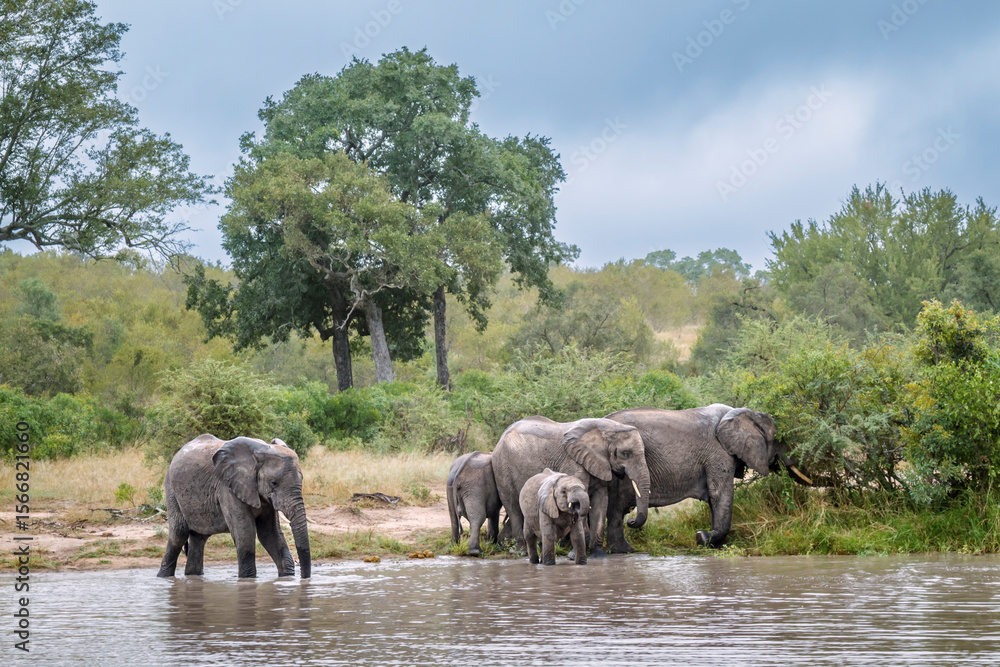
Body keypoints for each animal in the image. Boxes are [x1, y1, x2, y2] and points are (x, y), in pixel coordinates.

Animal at [157, 434, 311, 579]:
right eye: (274, 483)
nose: (304, 578)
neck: (260, 450)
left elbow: (269, 533)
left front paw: (287, 578)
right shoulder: (227, 486)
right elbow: (245, 533)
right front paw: (247, 579)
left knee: (198, 538)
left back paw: (192, 576)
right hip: (171, 489)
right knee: (179, 533)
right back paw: (163, 576)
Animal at [491, 415, 650, 556]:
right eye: (626, 453)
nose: (631, 521)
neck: (607, 428)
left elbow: (601, 501)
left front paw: (598, 555)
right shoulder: (573, 463)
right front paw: (576, 554)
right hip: (502, 469)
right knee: (514, 508)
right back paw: (521, 552)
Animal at [603, 404, 783, 550]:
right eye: (777, 440)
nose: (631, 521)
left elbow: (714, 499)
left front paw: (714, 544)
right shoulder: (718, 452)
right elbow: (720, 494)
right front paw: (703, 538)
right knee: (615, 509)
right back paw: (623, 550)